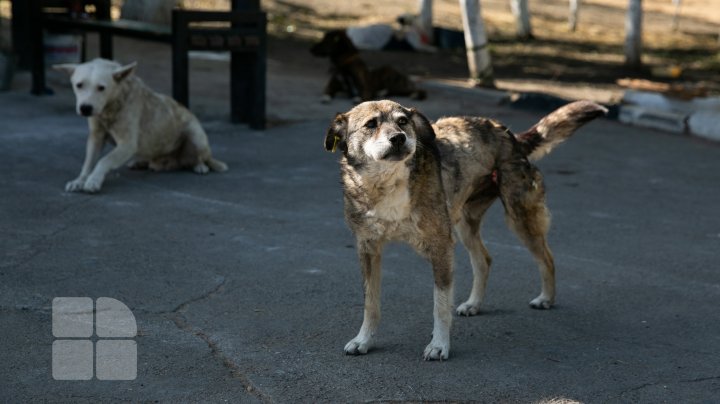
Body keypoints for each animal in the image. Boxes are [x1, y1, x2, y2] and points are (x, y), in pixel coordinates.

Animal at [53, 58, 228, 194]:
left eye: (101, 88)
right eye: (79, 85)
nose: (85, 108)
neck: (112, 105)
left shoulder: (127, 145)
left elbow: (104, 160)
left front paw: (93, 181)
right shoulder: (96, 137)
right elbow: (89, 162)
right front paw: (80, 180)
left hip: (197, 138)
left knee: (200, 158)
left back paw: (200, 166)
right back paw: (140, 162)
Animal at [324, 99, 604, 358]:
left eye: (403, 121)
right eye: (371, 124)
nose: (399, 138)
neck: (385, 183)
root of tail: (507, 133)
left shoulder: (441, 248)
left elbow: (440, 305)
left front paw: (439, 345)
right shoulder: (368, 249)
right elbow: (370, 303)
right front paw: (364, 340)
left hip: (519, 217)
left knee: (547, 257)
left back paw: (546, 298)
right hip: (464, 226)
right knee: (485, 259)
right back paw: (474, 304)